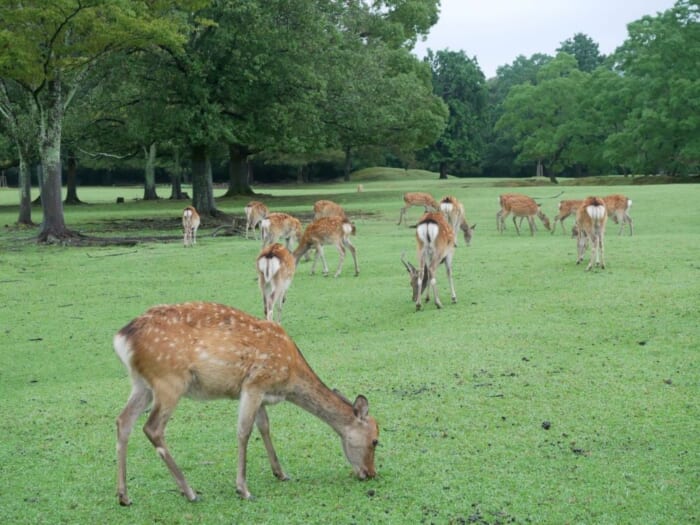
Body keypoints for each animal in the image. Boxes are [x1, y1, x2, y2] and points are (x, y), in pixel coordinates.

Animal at [114, 300, 378, 506]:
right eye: (376, 440)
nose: (371, 473)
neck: (289, 378)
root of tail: (122, 339)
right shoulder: (254, 382)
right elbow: (244, 431)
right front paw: (243, 489)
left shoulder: (261, 393)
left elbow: (265, 427)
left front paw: (281, 473)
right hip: (169, 380)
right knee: (152, 428)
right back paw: (189, 492)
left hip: (142, 384)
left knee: (123, 421)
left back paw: (124, 496)